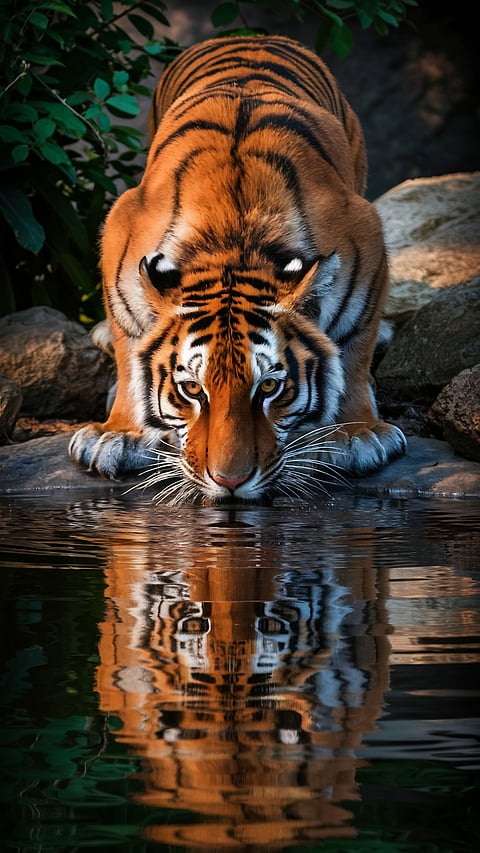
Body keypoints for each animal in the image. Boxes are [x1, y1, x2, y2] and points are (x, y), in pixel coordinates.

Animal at [69, 34, 407, 503]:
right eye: (192, 389)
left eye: (269, 387)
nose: (229, 481)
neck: (233, 243)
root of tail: (252, 35)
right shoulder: (121, 231)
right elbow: (130, 350)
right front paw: (119, 434)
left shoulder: (365, 238)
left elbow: (352, 351)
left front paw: (355, 435)